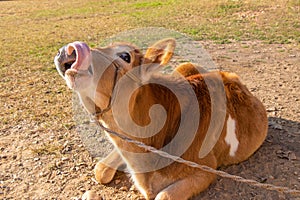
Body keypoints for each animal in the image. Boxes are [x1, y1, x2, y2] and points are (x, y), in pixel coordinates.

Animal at [54, 38, 268, 199]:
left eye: (125, 56)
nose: (68, 50)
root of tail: (226, 75)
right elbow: (100, 170)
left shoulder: (207, 168)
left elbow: (163, 196)